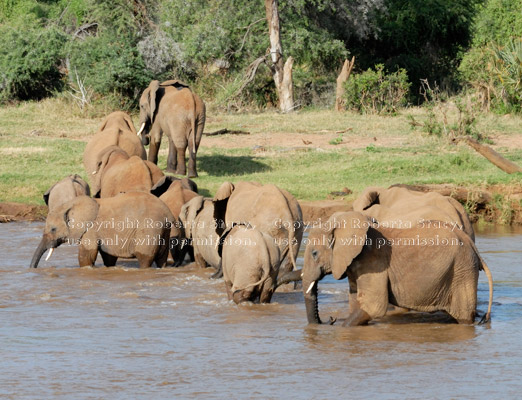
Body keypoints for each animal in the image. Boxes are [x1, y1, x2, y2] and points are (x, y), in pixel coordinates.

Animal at [29, 191, 174, 268]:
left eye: (53, 229)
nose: (33, 269)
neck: (70, 204)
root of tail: (168, 213)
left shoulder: (90, 229)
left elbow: (87, 256)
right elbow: (108, 256)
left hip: (150, 228)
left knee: (144, 258)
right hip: (163, 230)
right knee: (161, 258)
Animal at [300, 211, 492, 326]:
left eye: (315, 253)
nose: (331, 319)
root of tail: (472, 245)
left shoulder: (374, 263)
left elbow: (373, 306)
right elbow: (356, 301)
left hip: (462, 270)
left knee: (464, 317)